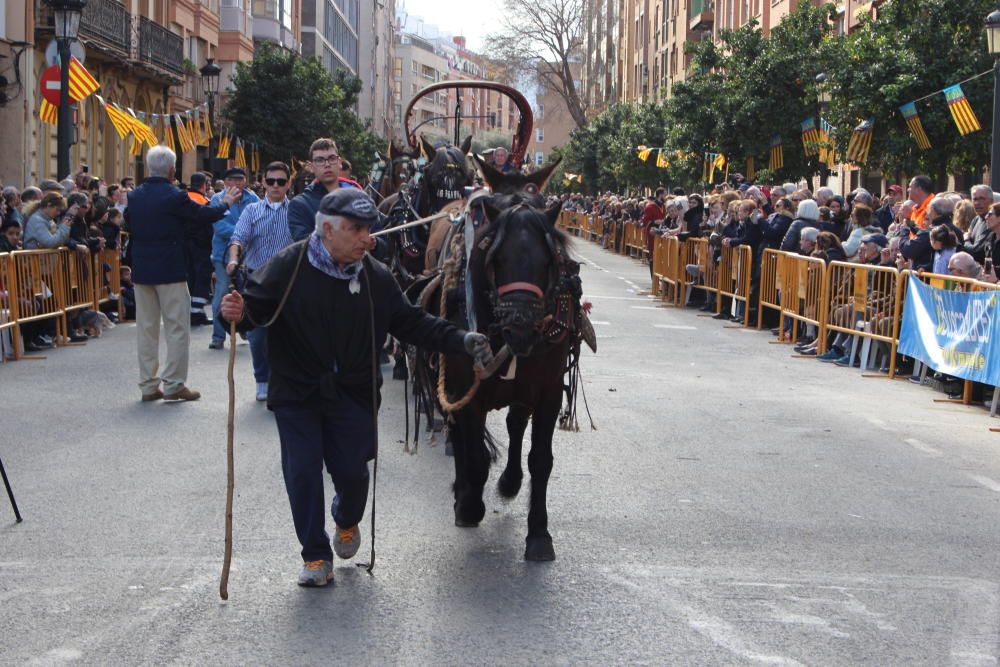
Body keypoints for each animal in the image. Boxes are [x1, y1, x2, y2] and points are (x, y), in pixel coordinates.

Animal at [418, 159, 584, 560]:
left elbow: (540, 459)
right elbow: (474, 452)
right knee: (461, 437)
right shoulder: (465, 388)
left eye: (549, 258)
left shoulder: (547, 389)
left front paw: (539, 533)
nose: (520, 324)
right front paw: (469, 503)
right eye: (496, 255)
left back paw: (509, 481)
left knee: (514, 424)